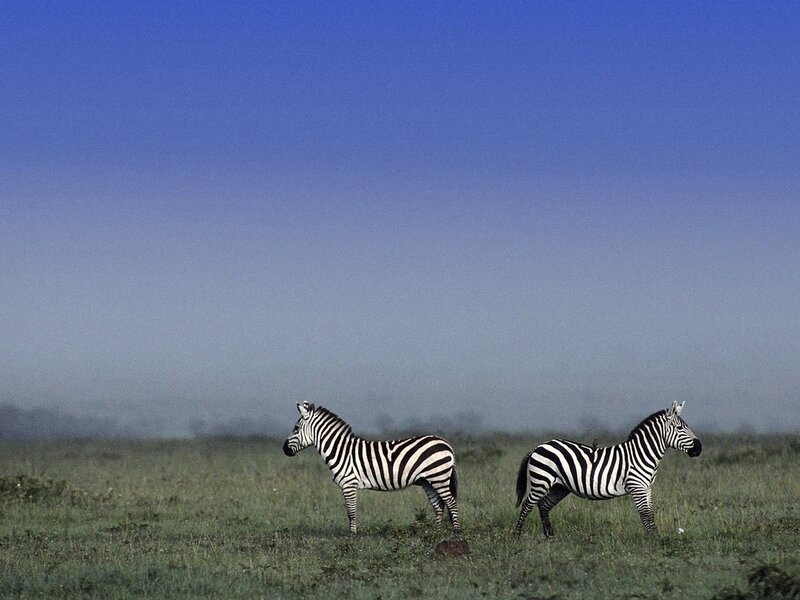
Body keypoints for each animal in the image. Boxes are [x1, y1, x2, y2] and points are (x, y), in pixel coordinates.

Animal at [282, 401, 461, 534]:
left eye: (296, 428)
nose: (284, 450)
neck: (341, 451)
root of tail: (446, 444)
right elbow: (350, 511)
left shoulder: (349, 484)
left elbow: (351, 512)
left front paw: (352, 535)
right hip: (428, 481)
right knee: (439, 506)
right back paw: (436, 533)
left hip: (438, 477)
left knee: (451, 502)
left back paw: (456, 532)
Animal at [514, 401, 702, 536]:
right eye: (679, 428)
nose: (699, 448)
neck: (642, 454)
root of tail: (539, 446)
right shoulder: (637, 487)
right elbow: (645, 513)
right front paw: (653, 540)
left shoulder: (647, 488)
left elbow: (651, 513)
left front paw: (655, 537)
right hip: (541, 481)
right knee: (527, 505)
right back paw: (516, 535)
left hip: (560, 486)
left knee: (543, 505)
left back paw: (549, 535)